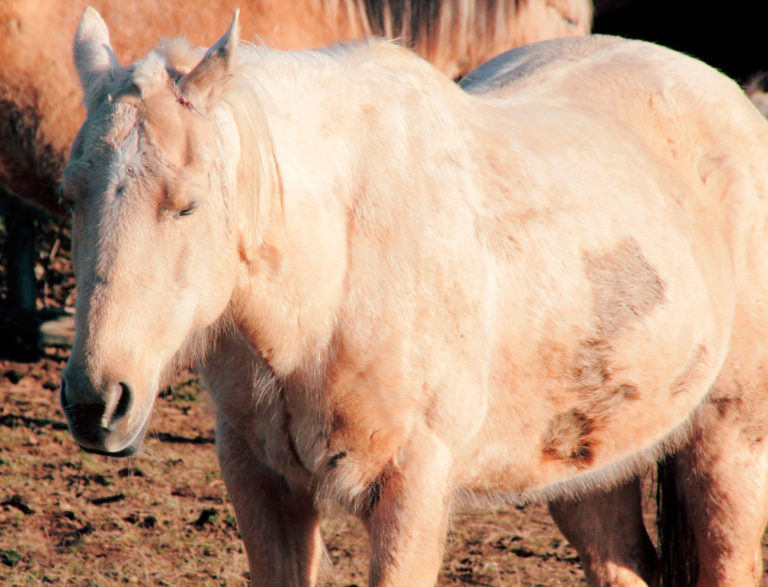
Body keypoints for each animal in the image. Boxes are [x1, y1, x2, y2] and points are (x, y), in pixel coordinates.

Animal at [59, 7, 768, 586]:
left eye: (188, 205)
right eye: (71, 197)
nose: (97, 403)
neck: (335, 278)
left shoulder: (413, 490)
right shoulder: (262, 481)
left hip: (729, 446)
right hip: (586, 465)